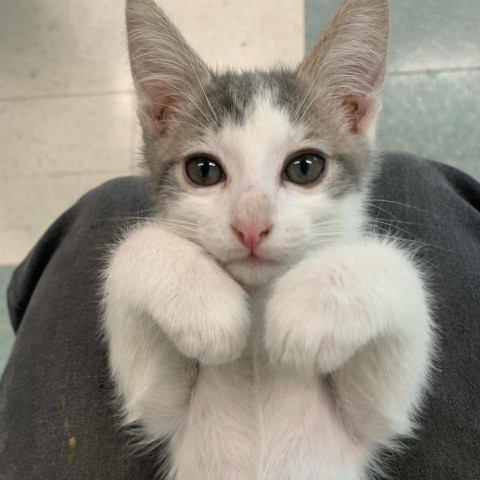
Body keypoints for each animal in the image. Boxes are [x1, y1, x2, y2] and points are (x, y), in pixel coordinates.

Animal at [103, 0, 436, 478]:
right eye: (203, 170)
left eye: (305, 167)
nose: (251, 226)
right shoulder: (159, 409)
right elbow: (132, 249)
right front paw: (208, 307)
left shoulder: (375, 417)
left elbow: (400, 269)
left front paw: (310, 308)